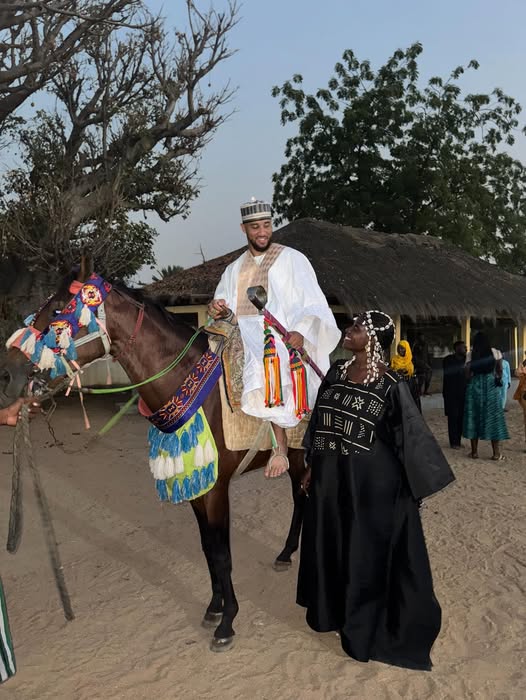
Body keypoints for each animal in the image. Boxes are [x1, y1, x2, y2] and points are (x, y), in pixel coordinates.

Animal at [0, 260, 310, 652]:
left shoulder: (216, 488)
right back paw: (285, 553)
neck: (189, 386)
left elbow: (222, 555)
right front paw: (214, 607)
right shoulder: (196, 486)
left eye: (56, 310)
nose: (7, 372)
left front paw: (227, 622)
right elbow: (207, 549)